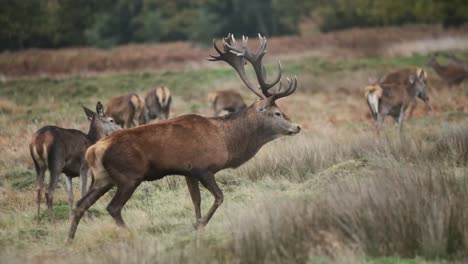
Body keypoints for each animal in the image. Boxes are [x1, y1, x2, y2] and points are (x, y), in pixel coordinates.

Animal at [67, 34, 302, 242]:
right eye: (277, 113)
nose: (297, 126)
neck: (226, 141)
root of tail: (94, 149)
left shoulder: (188, 171)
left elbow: (196, 201)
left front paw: (197, 226)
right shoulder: (203, 168)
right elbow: (219, 197)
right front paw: (198, 225)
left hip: (102, 177)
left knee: (80, 204)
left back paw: (70, 241)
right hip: (129, 175)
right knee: (112, 207)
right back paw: (131, 235)